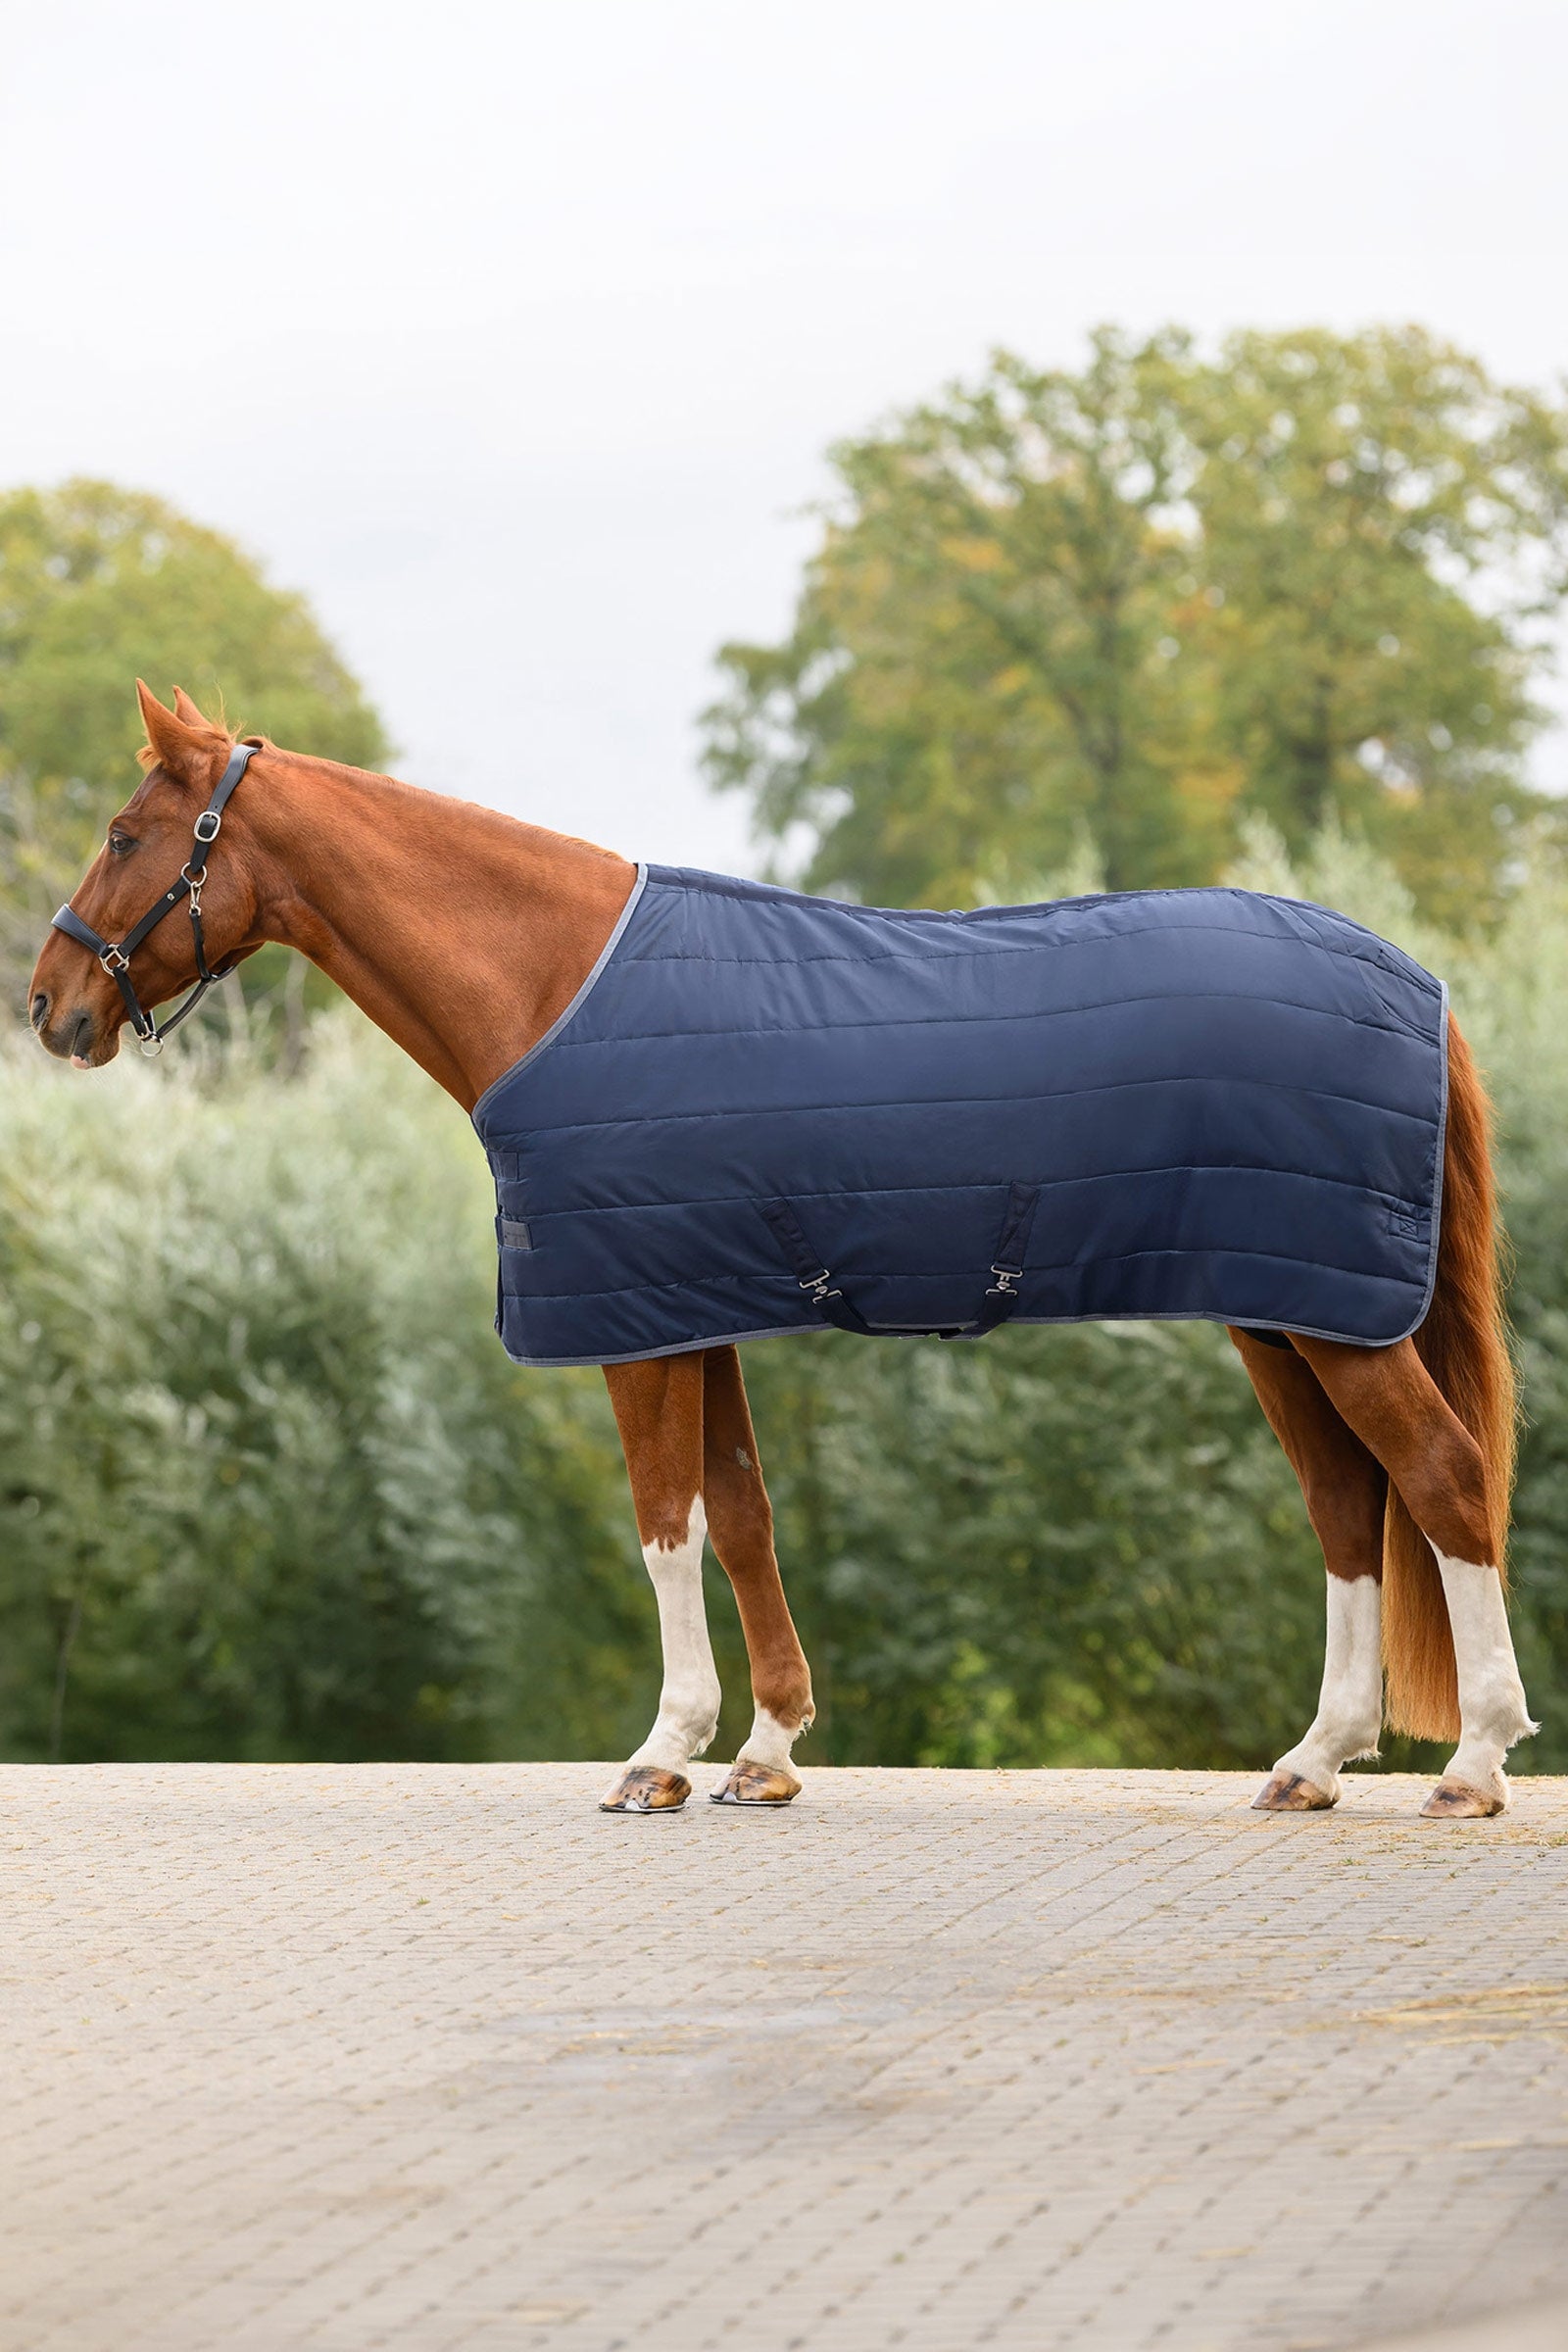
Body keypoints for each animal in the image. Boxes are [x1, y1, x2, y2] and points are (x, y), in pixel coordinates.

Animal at [28, 683, 1537, 1819]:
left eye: (124, 832)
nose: (49, 1008)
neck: (555, 985)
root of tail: (1415, 982)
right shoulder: (696, 1311)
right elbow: (742, 1514)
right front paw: (765, 1752)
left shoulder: (634, 1326)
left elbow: (665, 1524)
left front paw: (662, 1753)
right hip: (1285, 1311)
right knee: (1347, 1507)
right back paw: (1313, 1762)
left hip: (1334, 1320)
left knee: (1442, 1478)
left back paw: (1471, 1763)